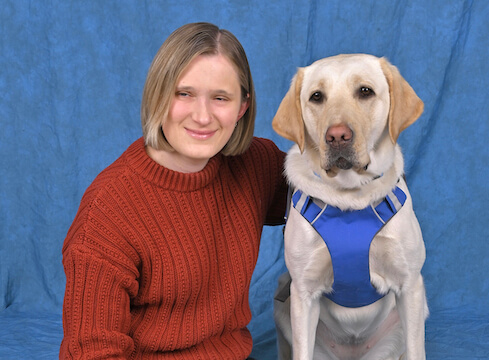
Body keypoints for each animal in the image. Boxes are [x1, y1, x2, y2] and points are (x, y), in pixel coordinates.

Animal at [274, 54, 428, 360]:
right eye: (316, 97)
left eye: (365, 91)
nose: (337, 136)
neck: (350, 196)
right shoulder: (303, 293)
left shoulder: (410, 285)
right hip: (283, 301)